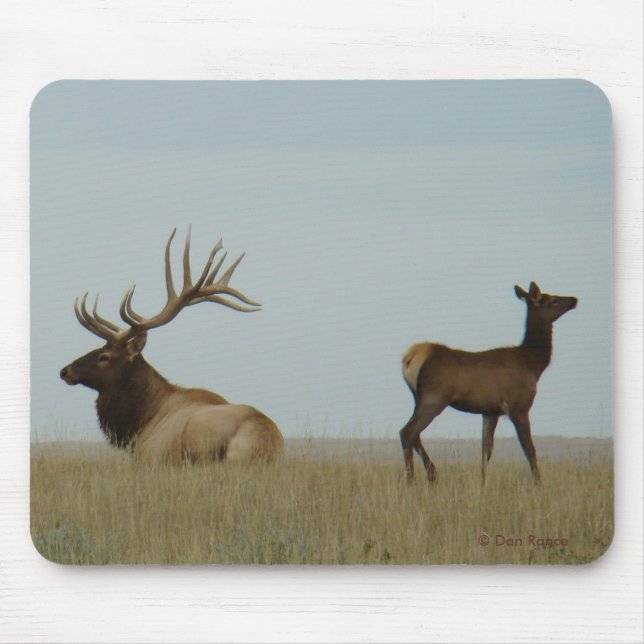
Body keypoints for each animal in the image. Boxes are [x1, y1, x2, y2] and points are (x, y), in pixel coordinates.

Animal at [399, 282, 577, 485]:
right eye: (554, 300)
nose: (574, 299)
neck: (533, 364)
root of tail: (411, 357)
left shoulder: (490, 411)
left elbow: (486, 451)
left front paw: (482, 484)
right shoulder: (518, 406)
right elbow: (529, 450)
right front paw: (539, 484)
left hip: (418, 398)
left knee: (414, 435)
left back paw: (431, 474)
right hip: (434, 398)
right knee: (407, 433)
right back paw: (412, 481)